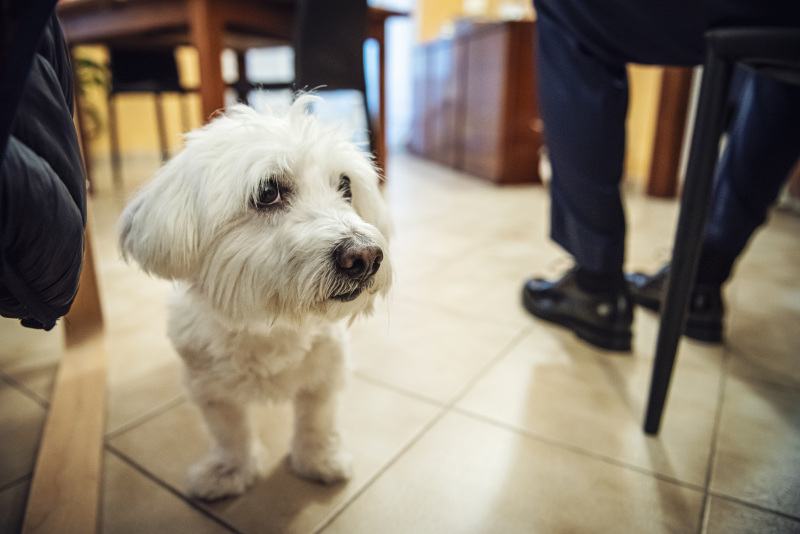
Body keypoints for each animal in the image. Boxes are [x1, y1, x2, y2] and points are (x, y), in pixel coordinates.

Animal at [118, 95, 392, 500]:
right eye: (267, 193)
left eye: (346, 186)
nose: (366, 256)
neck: (266, 322)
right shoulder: (212, 392)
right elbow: (230, 434)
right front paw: (229, 473)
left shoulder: (324, 376)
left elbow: (316, 421)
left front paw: (318, 461)